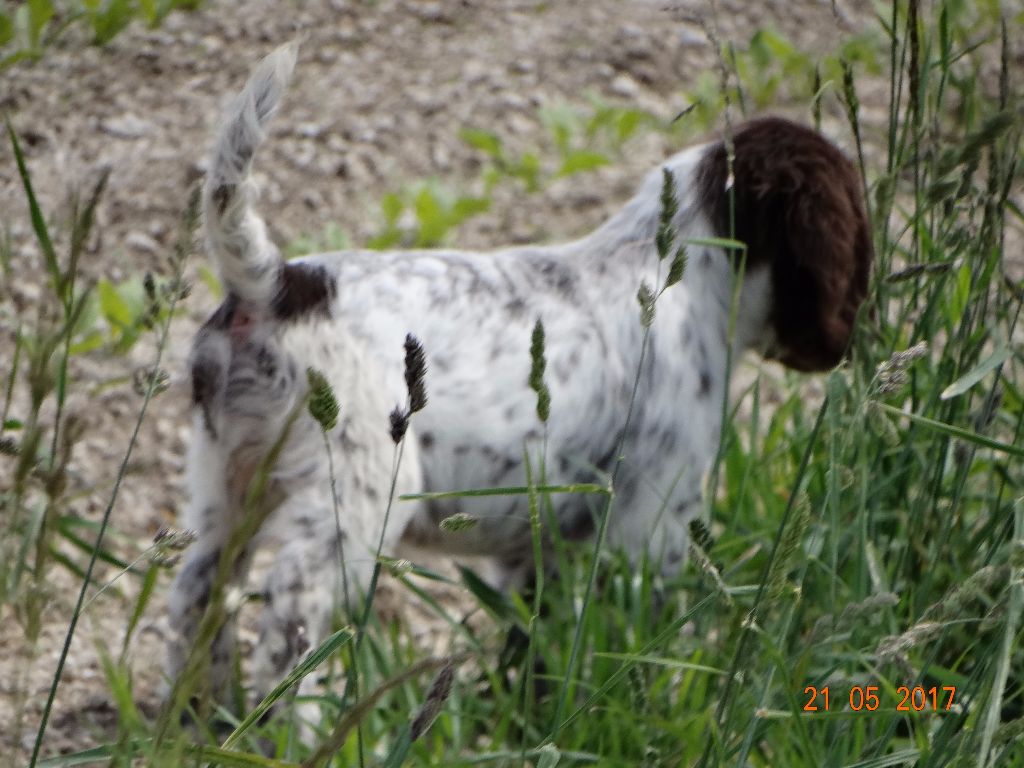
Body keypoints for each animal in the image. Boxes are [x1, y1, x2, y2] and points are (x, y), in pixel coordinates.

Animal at [165, 45, 872, 708]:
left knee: (196, 599)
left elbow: (534, 645)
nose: (854, 337)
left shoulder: (539, 552)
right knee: (290, 624)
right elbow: (640, 638)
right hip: (349, 499)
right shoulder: (653, 523)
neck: (672, 264)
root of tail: (276, 288)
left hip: (225, 483)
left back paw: (202, 722)